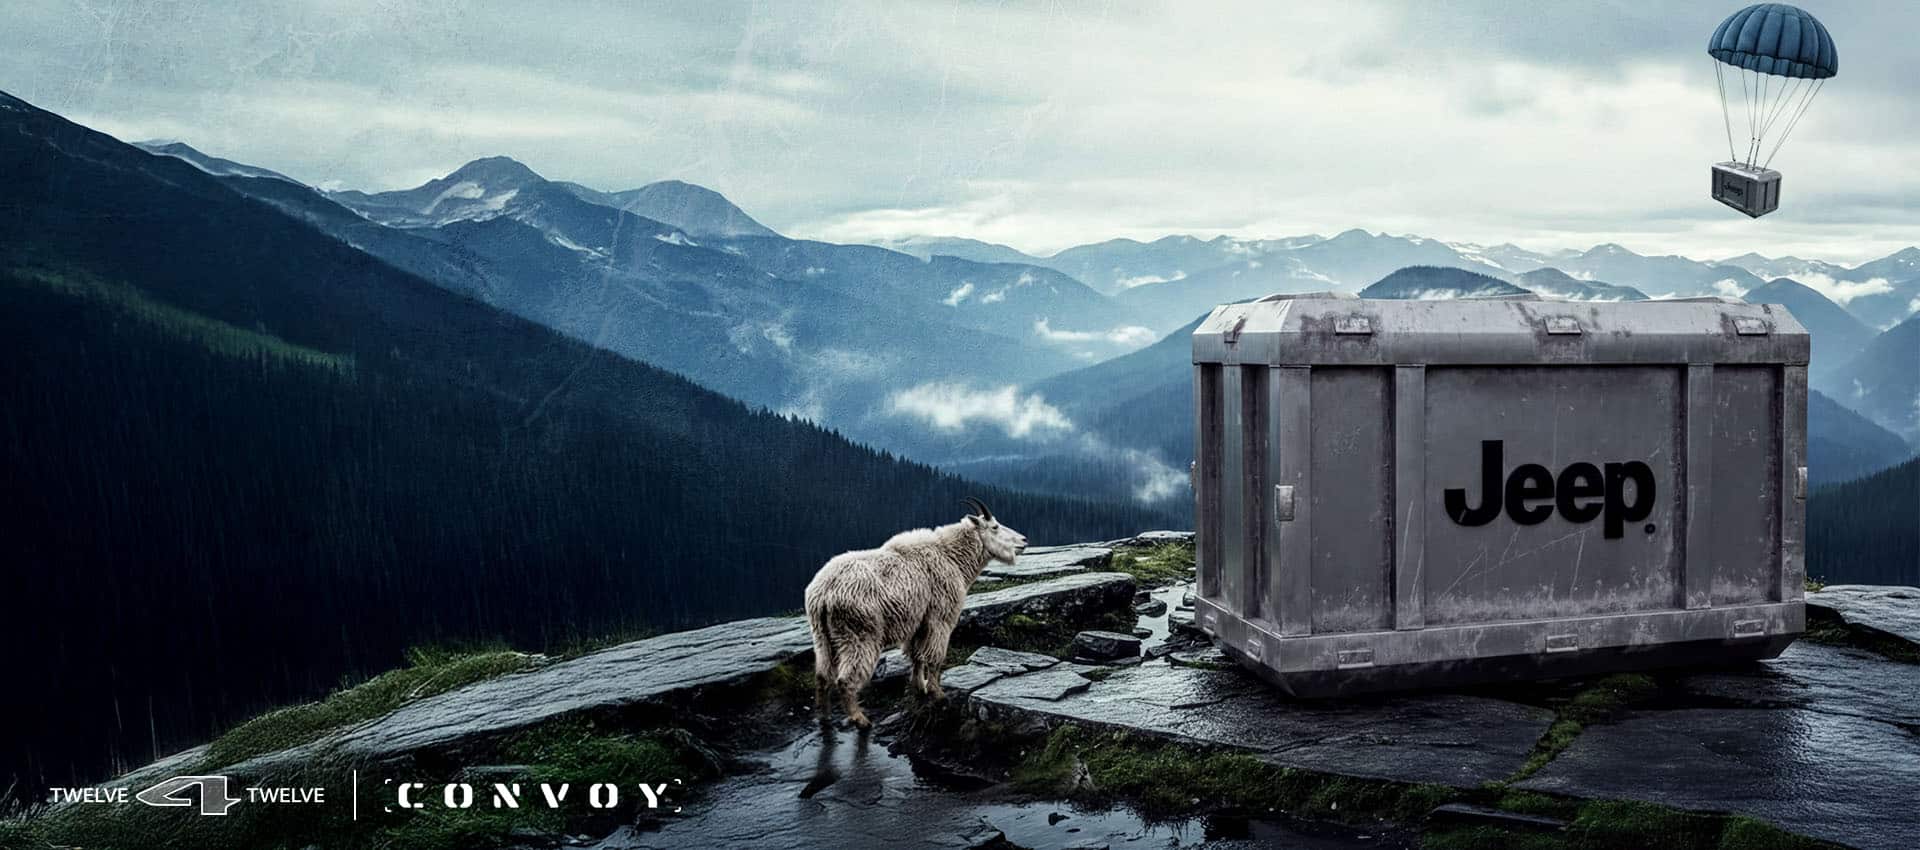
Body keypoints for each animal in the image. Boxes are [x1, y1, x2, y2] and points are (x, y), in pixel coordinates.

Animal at [804, 497, 1027, 730]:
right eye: (995, 527)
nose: (1023, 541)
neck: (951, 557)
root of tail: (823, 594)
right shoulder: (940, 618)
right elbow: (934, 657)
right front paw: (937, 693)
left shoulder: (919, 622)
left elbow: (916, 655)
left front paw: (920, 687)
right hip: (859, 633)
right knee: (845, 678)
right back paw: (860, 719)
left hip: (822, 635)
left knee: (822, 675)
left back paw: (825, 717)